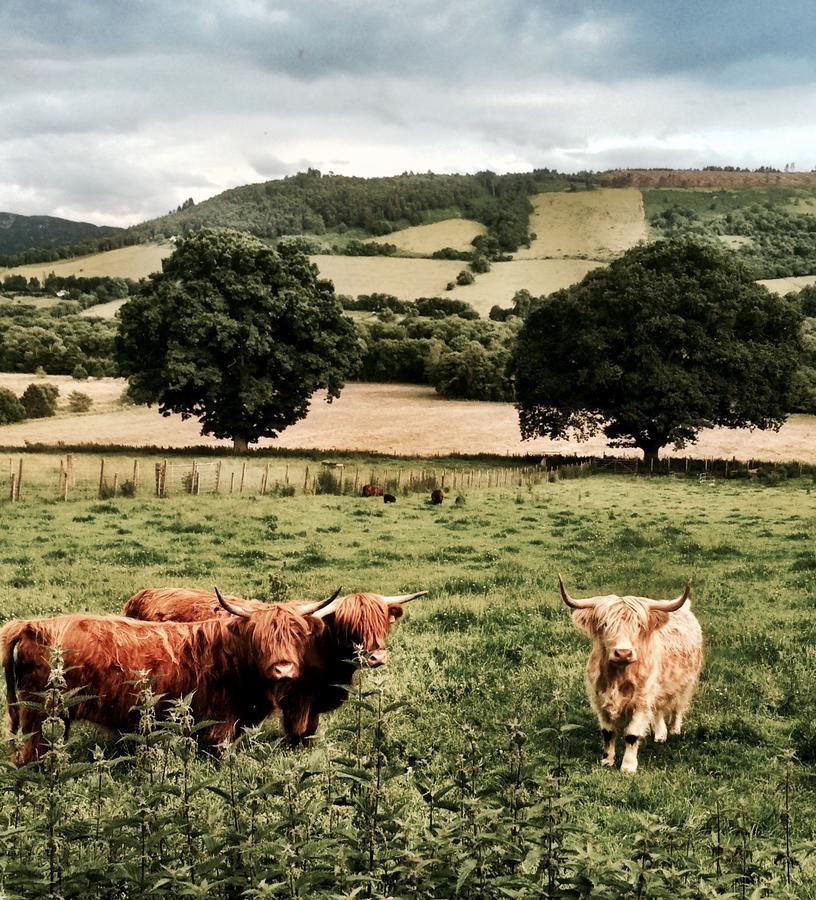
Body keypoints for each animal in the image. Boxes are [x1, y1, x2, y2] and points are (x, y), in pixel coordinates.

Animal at [2, 596, 332, 764]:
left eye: (296, 634)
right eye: (260, 637)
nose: (284, 669)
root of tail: (33, 625)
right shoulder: (221, 725)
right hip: (40, 716)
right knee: (28, 757)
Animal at [123, 588, 428, 740]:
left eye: (383, 622)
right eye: (351, 626)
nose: (377, 657)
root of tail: (143, 594)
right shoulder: (297, 699)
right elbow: (298, 732)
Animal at [560, 576, 700, 772]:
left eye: (639, 625)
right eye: (605, 624)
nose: (623, 652)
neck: (617, 677)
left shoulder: (641, 701)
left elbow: (632, 734)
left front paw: (628, 766)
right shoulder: (600, 700)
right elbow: (608, 732)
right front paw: (607, 760)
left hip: (685, 683)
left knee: (678, 706)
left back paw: (674, 729)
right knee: (658, 710)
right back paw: (660, 735)